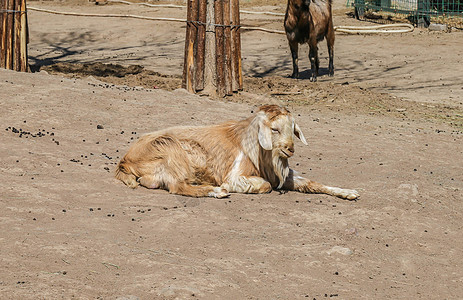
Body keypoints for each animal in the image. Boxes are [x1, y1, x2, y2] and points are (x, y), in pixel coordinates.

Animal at [115, 104, 358, 200]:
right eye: (274, 129)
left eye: (293, 128)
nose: (290, 149)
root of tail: (125, 161)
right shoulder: (236, 174)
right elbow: (265, 186)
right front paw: (226, 186)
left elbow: (312, 183)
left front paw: (349, 192)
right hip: (170, 149)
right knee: (177, 186)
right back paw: (217, 191)